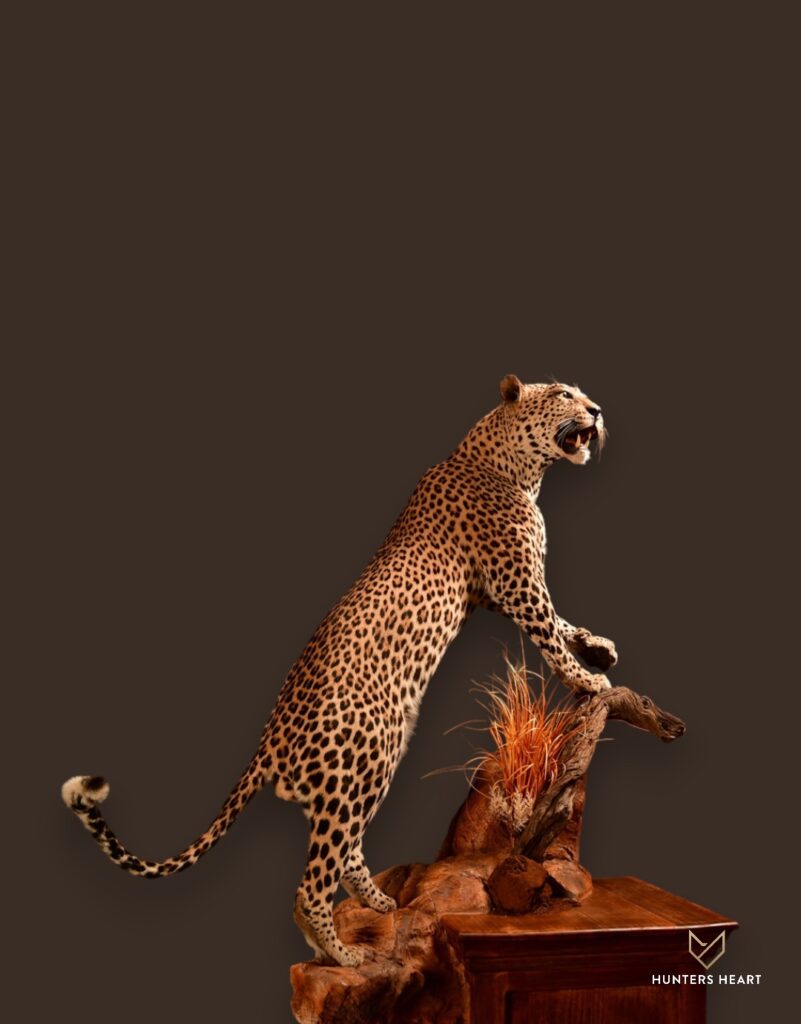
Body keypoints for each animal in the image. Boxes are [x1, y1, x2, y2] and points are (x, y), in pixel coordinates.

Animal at [62, 374, 618, 967]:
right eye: (562, 393)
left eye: (579, 393)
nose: (596, 410)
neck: (516, 467)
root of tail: (269, 743)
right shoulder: (517, 584)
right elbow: (550, 633)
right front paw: (586, 679)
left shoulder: (498, 592)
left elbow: (564, 624)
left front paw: (600, 649)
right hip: (364, 759)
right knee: (313, 879)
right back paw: (342, 955)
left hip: (364, 771)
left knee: (346, 850)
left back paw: (378, 903)